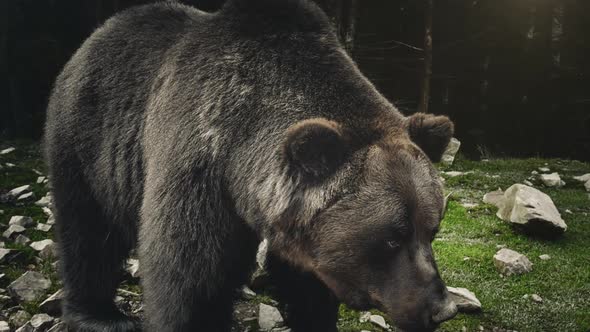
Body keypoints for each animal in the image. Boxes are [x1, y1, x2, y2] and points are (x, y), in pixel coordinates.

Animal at [45, 0, 458, 332]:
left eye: (432, 229)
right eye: (391, 238)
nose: (442, 309)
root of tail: (101, 32)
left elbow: (305, 281)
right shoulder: (198, 166)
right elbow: (188, 275)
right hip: (86, 138)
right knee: (87, 231)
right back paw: (99, 315)